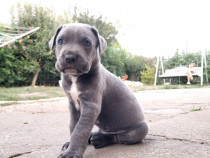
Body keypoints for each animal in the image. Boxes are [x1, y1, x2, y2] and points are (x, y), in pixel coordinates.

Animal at [48, 22, 148, 158]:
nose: (70, 57)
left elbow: (80, 129)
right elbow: (73, 126)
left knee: (118, 137)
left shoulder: (90, 106)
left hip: (138, 131)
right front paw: (69, 145)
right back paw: (95, 136)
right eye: (60, 41)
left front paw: (72, 152)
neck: (75, 77)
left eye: (87, 43)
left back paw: (100, 139)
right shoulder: (73, 105)